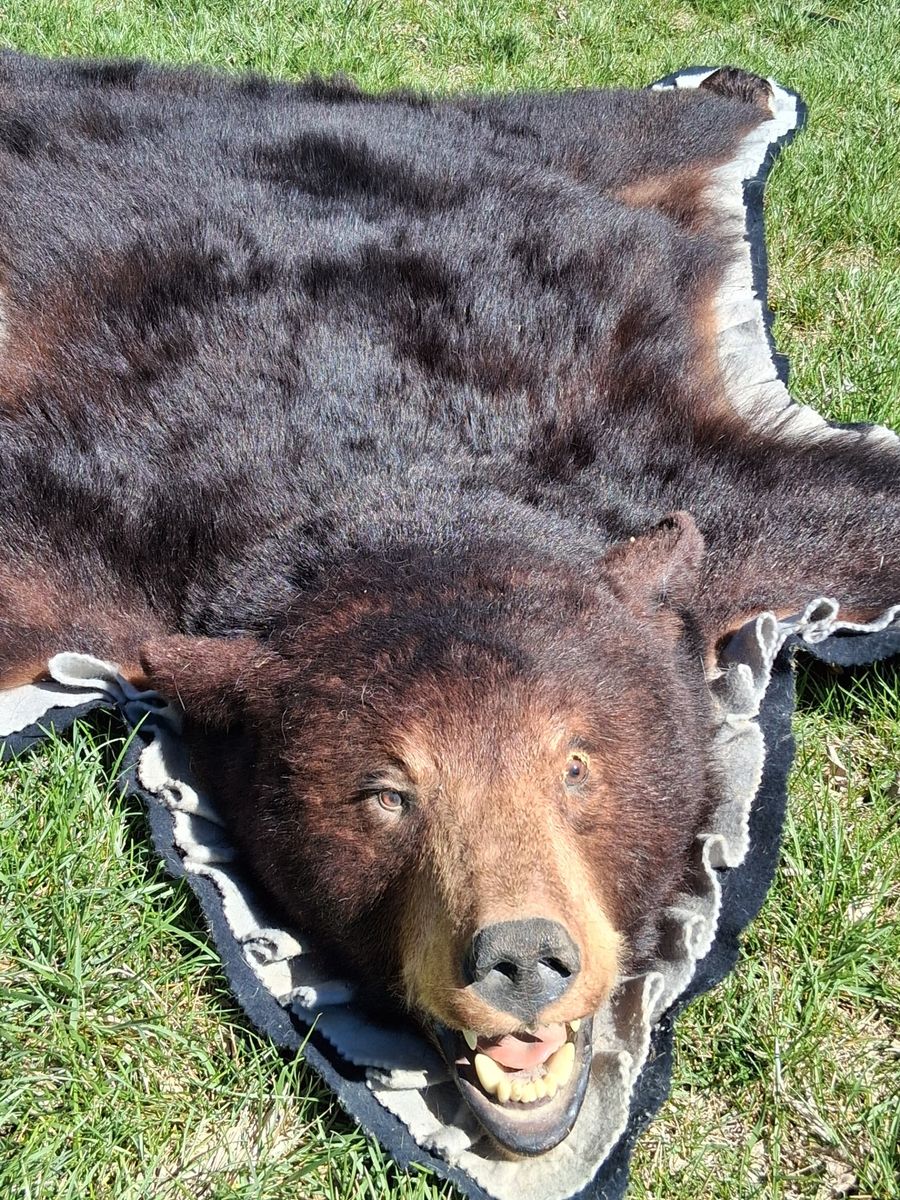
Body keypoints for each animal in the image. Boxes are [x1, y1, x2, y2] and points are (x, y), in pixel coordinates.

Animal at [0, 50, 897, 1155]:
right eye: (387, 795)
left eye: (577, 765)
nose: (521, 956)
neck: (392, 491)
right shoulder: (103, 530)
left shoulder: (674, 490)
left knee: (618, 126)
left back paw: (730, 87)